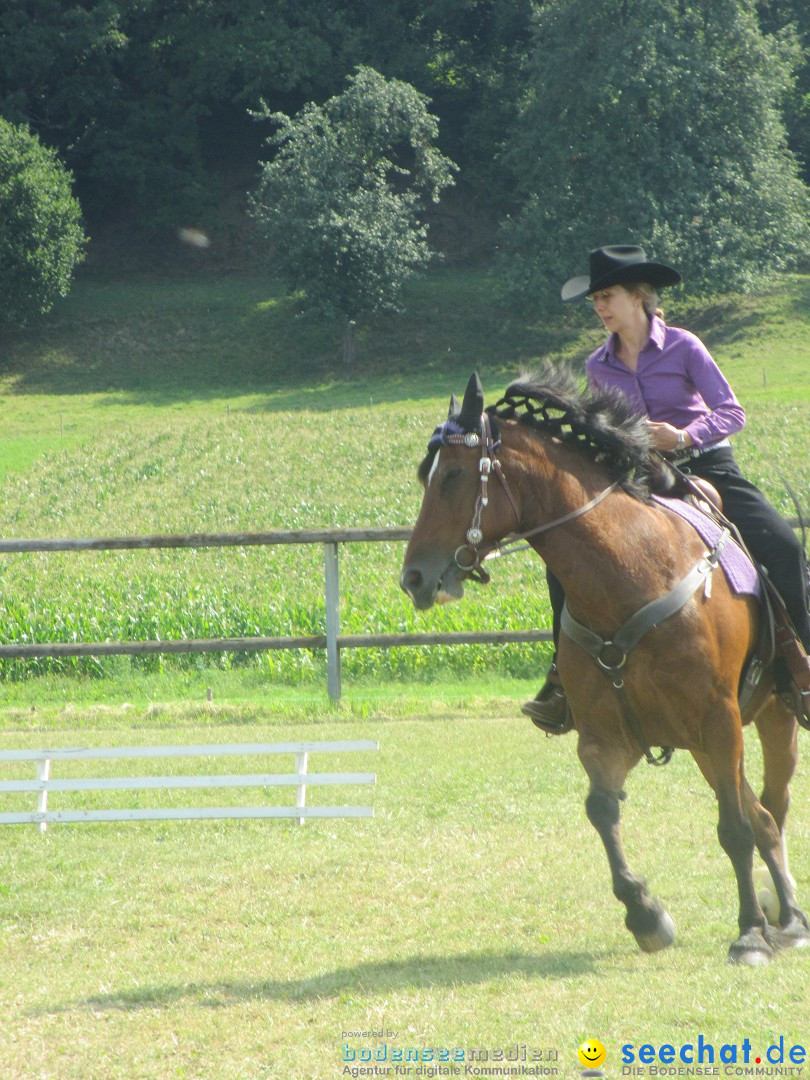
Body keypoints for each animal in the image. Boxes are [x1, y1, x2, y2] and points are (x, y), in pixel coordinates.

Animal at [403, 367, 807, 967]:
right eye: (425, 474)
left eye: (452, 475)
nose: (413, 578)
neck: (633, 572)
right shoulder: (606, 736)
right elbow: (602, 810)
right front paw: (646, 913)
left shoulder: (719, 719)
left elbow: (734, 828)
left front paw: (751, 933)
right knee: (762, 816)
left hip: (770, 719)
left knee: (772, 809)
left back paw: (788, 916)